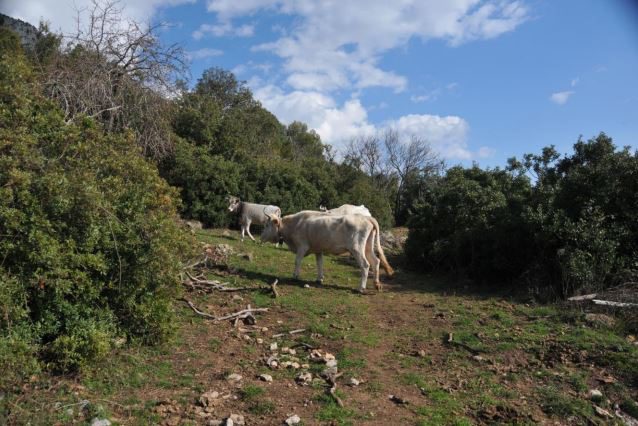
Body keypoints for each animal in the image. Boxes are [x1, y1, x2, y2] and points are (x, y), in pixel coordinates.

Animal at [262, 211, 396, 292]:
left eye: (267, 225)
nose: (261, 237)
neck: (295, 224)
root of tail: (366, 217)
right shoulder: (318, 249)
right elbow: (319, 263)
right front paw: (319, 278)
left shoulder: (302, 246)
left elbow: (297, 261)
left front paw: (295, 276)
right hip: (367, 246)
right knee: (376, 261)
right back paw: (376, 284)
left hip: (357, 248)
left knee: (365, 264)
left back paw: (361, 288)